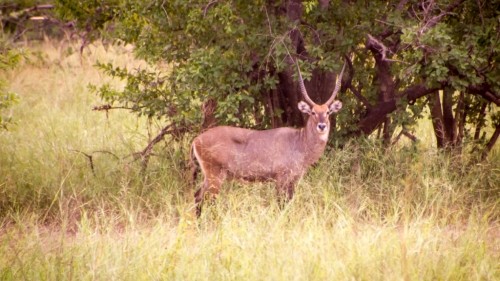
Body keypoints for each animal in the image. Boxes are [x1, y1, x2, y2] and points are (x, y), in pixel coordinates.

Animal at [190, 60, 344, 214]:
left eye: (328, 112)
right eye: (312, 112)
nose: (322, 126)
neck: (300, 142)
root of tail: (196, 140)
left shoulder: (294, 180)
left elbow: (289, 203)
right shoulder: (281, 178)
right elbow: (281, 204)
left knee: (197, 195)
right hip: (215, 176)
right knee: (207, 199)